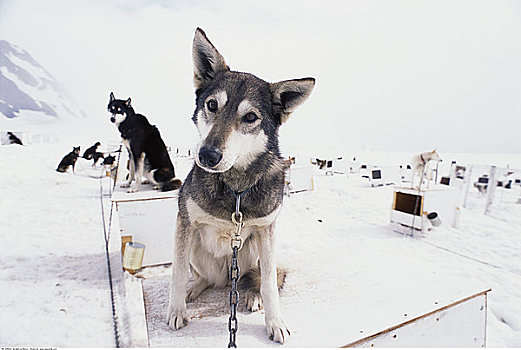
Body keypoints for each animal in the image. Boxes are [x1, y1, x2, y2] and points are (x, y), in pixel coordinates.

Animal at [167, 27, 312, 344]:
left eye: (250, 117)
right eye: (212, 105)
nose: (207, 155)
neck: (235, 189)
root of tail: (226, 280)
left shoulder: (266, 230)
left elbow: (269, 283)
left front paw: (275, 321)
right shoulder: (185, 222)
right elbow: (177, 273)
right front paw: (176, 310)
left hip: (251, 251)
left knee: (252, 279)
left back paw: (249, 296)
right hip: (196, 248)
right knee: (204, 278)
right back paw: (195, 289)